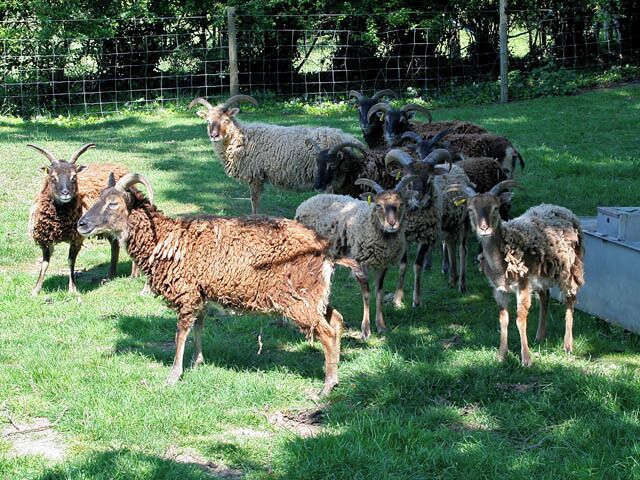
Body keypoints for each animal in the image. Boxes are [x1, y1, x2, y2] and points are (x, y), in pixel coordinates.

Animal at [27, 143, 132, 295]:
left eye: (74, 177)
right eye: (52, 177)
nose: (65, 193)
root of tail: (119, 167)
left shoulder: (76, 238)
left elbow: (71, 260)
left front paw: (72, 289)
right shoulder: (45, 239)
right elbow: (44, 264)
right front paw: (35, 290)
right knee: (114, 244)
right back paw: (110, 275)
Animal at [77, 173, 350, 396]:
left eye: (113, 203)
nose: (82, 224)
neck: (164, 239)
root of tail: (326, 249)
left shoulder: (186, 292)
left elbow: (181, 333)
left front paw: (173, 375)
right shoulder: (201, 292)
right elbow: (199, 326)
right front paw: (198, 362)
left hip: (298, 298)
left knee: (326, 333)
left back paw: (326, 387)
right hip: (314, 294)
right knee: (336, 320)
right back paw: (334, 375)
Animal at [190, 95, 363, 214]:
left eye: (226, 120)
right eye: (208, 121)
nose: (214, 135)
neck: (242, 137)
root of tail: (344, 136)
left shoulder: (254, 175)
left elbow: (254, 201)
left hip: (329, 179)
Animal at [295, 175, 418, 340]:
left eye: (401, 204)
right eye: (378, 205)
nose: (392, 224)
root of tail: (305, 202)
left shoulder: (382, 264)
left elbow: (379, 292)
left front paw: (381, 326)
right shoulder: (360, 262)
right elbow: (366, 294)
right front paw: (365, 330)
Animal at [453, 180, 584, 366]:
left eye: (496, 208)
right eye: (470, 209)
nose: (484, 229)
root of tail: (561, 208)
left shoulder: (522, 284)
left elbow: (520, 319)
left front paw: (526, 359)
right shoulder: (499, 289)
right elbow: (503, 320)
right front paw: (501, 356)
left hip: (571, 267)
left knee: (570, 299)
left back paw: (567, 345)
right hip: (541, 276)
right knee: (545, 298)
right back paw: (539, 337)